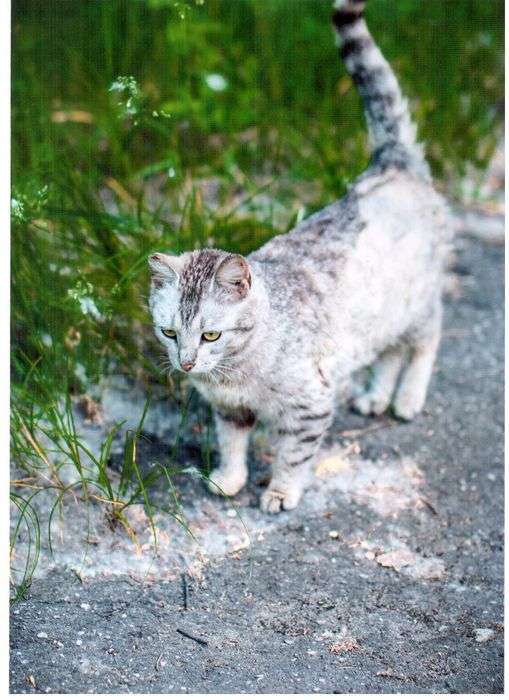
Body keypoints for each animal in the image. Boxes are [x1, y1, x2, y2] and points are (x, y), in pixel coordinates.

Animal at [148, 0, 452, 516]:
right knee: (388, 351)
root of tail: (391, 162)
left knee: (427, 337)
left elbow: (294, 455)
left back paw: (407, 397)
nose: (186, 364)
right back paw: (375, 395)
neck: (236, 371)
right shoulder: (229, 410)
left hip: (417, 301)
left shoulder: (310, 404)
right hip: (378, 318)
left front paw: (280, 492)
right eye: (169, 332)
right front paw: (229, 479)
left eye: (211, 335)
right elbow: (231, 444)